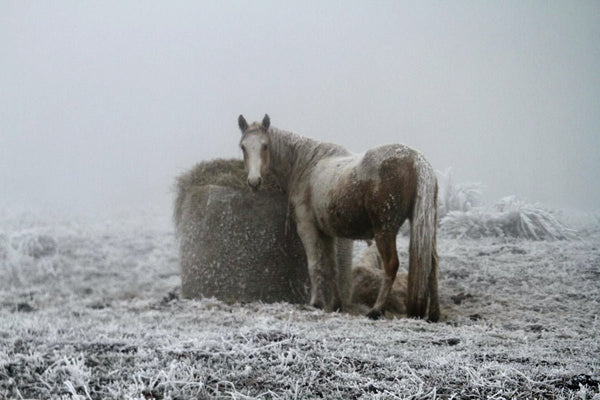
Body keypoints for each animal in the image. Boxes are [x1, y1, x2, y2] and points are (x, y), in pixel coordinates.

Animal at [238, 114, 440, 320]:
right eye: (243, 147)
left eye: (265, 146)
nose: (254, 182)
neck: (306, 165)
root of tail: (416, 160)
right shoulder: (327, 233)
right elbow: (331, 267)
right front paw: (335, 304)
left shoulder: (307, 227)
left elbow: (314, 265)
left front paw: (316, 303)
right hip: (424, 227)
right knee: (432, 266)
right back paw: (433, 314)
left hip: (385, 230)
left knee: (391, 265)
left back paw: (376, 310)